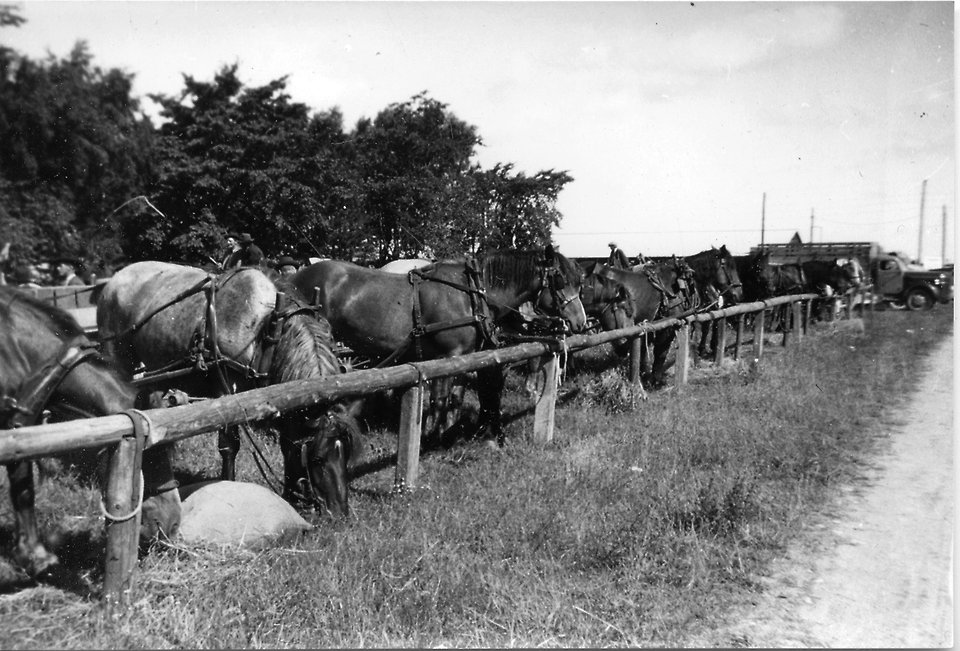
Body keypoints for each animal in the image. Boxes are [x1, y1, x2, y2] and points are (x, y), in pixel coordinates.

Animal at [0, 286, 182, 576]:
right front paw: (36, 556)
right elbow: (24, 488)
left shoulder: (19, 425)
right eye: (148, 453)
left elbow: (23, 487)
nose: (172, 523)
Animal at [96, 262, 360, 516]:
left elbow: (288, 444)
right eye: (318, 458)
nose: (340, 514)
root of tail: (114, 279)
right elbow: (230, 446)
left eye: (347, 454)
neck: (263, 330)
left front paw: (292, 496)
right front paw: (230, 485)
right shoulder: (227, 393)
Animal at [286, 247, 584, 446]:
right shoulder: (447, 356)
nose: (580, 321)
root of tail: (295, 277)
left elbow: (456, 397)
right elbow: (440, 400)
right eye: (560, 279)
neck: (471, 292)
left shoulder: (465, 357)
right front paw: (434, 436)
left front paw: (448, 432)